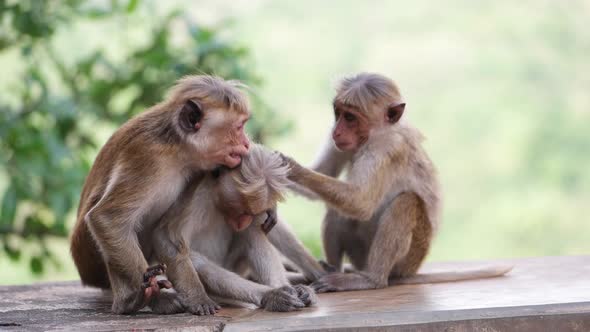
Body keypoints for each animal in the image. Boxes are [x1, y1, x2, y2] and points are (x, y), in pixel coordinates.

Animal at [70, 74, 253, 314]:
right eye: (239, 127)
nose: (247, 143)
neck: (178, 148)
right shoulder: (148, 158)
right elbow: (106, 218)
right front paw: (166, 294)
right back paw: (131, 301)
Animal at [153, 144, 320, 312]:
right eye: (243, 212)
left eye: (251, 213)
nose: (243, 222)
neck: (217, 204)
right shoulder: (198, 198)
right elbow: (167, 239)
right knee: (197, 258)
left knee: (253, 232)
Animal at [282, 73, 512, 294]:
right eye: (338, 113)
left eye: (350, 117)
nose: (335, 131)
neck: (374, 134)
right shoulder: (340, 144)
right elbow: (324, 173)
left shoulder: (387, 147)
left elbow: (361, 203)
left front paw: (292, 167)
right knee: (337, 209)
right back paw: (333, 269)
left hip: (410, 258)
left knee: (406, 202)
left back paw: (371, 280)